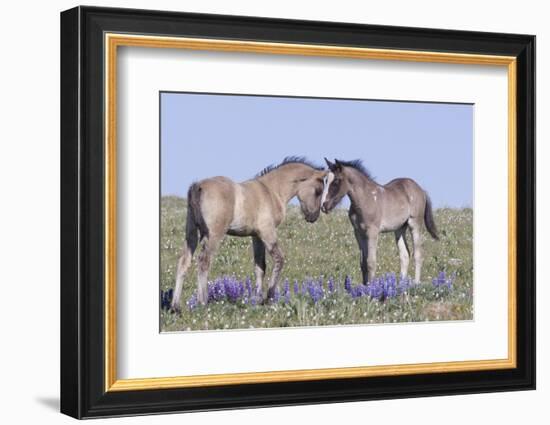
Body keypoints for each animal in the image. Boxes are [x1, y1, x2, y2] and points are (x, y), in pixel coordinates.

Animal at [171, 156, 328, 308]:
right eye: (318, 191)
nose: (314, 216)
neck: (271, 191)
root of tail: (198, 185)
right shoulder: (267, 231)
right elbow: (279, 259)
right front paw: (269, 297)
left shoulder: (256, 236)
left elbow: (260, 266)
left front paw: (257, 299)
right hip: (214, 234)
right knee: (204, 261)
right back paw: (203, 302)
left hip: (191, 232)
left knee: (184, 261)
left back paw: (175, 306)